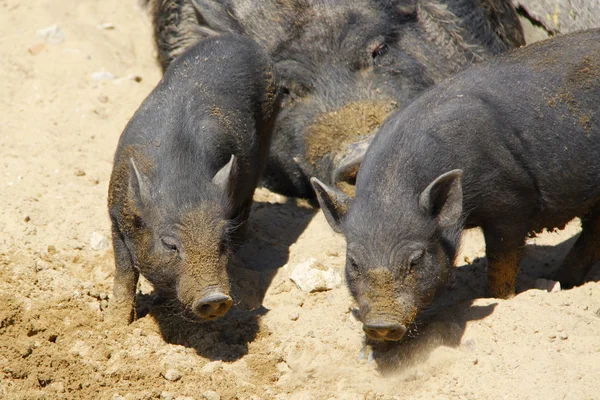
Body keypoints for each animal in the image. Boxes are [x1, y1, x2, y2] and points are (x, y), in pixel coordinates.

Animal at [108, 36, 282, 324]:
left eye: (222, 242)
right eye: (170, 244)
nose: (215, 298)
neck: (183, 183)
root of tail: (239, 40)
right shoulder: (114, 216)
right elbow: (124, 275)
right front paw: (118, 325)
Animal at [312, 28, 600, 340]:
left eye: (416, 259)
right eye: (353, 262)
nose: (380, 324)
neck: (391, 187)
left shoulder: (511, 200)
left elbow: (502, 258)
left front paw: (500, 296)